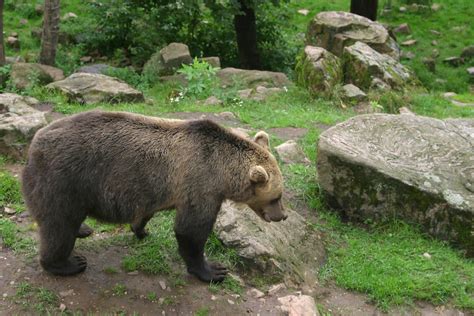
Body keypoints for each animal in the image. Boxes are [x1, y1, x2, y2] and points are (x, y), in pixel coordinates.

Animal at [21, 110, 286, 282]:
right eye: (276, 197)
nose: (282, 216)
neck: (223, 171)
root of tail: (35, 142)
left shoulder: (157, 189)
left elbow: (147, 211)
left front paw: (141, 229)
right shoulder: (201, 184)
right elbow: (191, 230)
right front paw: (212, 270)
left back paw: (83, 229)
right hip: (64, 180)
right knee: (59, 225)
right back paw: (67, 263)